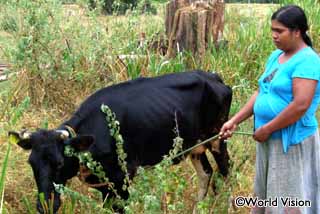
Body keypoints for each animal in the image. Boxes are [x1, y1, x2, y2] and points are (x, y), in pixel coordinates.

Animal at [8, 70, 232, 212]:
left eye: (60, 163)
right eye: (31, 163)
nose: (44, 206)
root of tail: (212, 76)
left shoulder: (122, 178)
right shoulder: (105, 185)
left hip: (218, 136)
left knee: (225, 169)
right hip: (196, 145)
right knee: (206, 173)